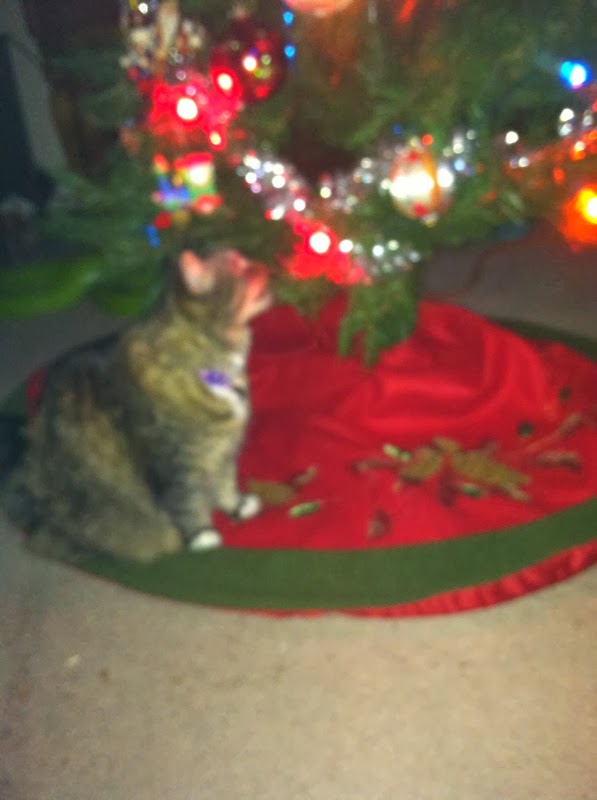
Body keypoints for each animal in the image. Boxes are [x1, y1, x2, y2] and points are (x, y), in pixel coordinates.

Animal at [4, 248, 271, 563]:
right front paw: (203, 536)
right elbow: (187, 503)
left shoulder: (223, 450)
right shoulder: (175, 464)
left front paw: (236, 506)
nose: (264, 265)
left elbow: (225, 483)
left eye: (244, 258)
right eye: (241, 267)